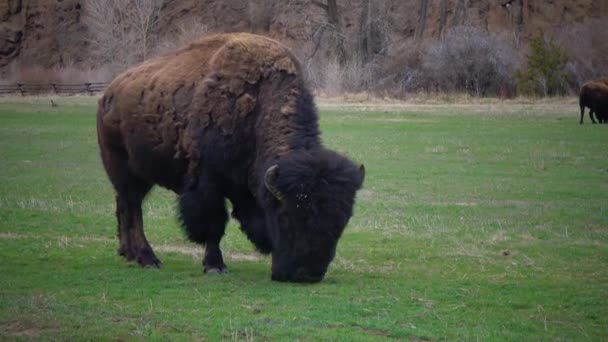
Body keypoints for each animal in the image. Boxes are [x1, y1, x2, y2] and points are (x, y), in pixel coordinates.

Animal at [96, 32, 366, 284]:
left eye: (342, 222)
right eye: (286, 216)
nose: (306, 275)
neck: (257, 106)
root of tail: (108, 95)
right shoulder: (207, 183)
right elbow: (214, 225)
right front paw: (215, 266)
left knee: (124, 206)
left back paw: (128, 253)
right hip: (125, 172)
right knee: (133, 209)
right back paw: (147, 258)